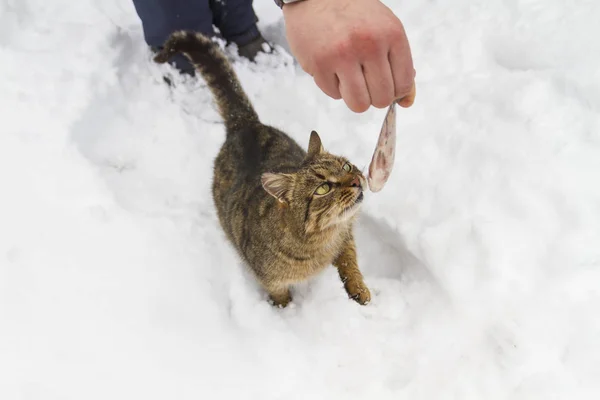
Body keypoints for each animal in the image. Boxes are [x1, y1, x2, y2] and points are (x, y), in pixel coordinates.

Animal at [154, 32, 370, 306]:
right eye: (323, 188)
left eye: (347, 165)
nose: (356, 180)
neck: (320, 242)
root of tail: (246, 125)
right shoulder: (271, 280)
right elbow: (281, 296)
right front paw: (285, 311)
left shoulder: (346, 235)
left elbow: (350, 261)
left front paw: (358, 288)